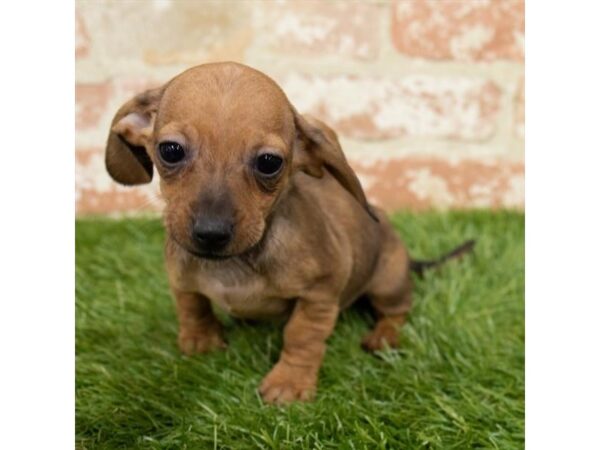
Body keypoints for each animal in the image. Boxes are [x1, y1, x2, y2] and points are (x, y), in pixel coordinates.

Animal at [106, 60, 474, 404]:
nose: (211, 233)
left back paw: (383, 336)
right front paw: (200, 340)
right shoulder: (180, 277)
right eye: (170, 150)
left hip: (388, 282)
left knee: (397, 311)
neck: (236, 265)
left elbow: (301, 336)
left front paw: (290, 382)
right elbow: (192, 305)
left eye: (269, 162)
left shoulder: (320, 294)